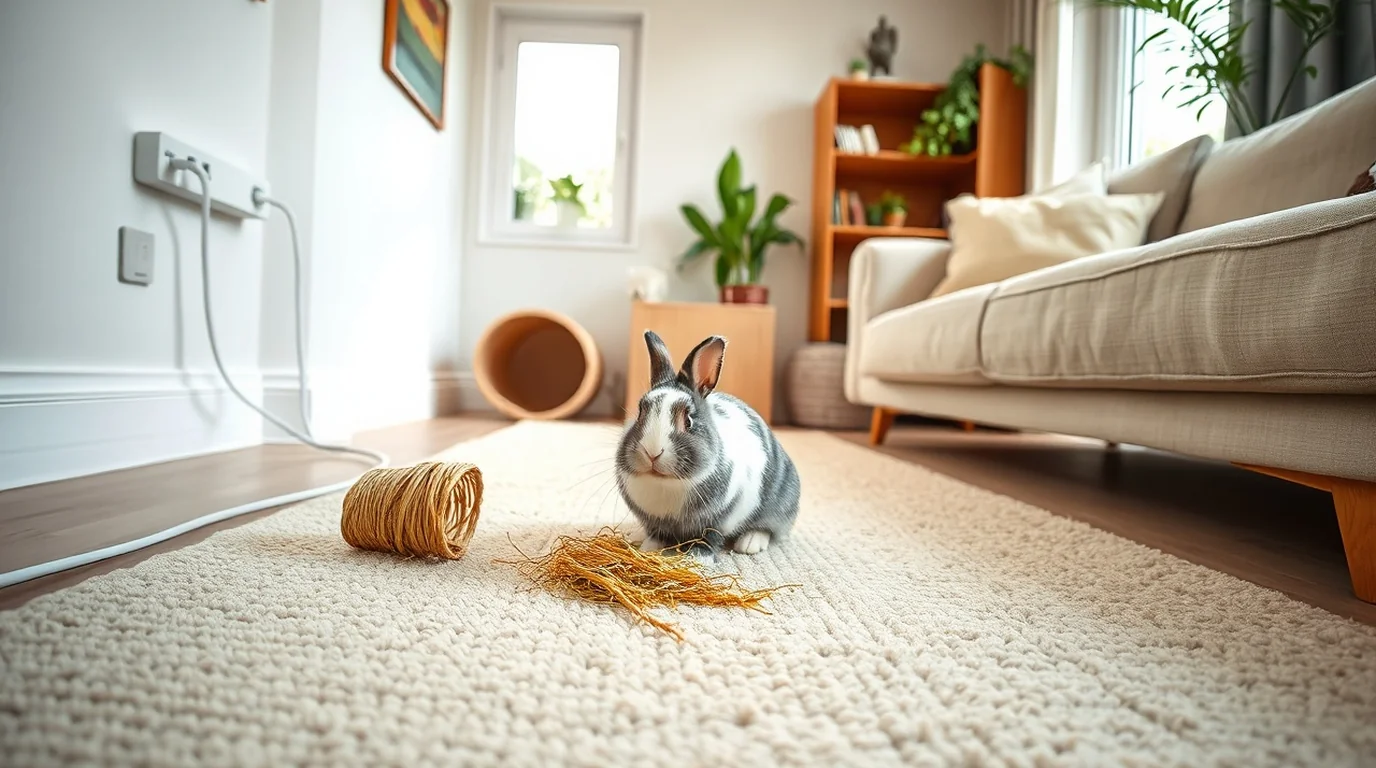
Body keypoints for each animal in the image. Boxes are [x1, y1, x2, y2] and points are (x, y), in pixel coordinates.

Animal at [614, 330, 801, 563]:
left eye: (689, 421)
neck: (667, 484)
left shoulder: (717, 521)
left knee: (769, 529)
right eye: (640, 414)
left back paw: (750, 543)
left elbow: (707, 538)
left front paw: (696, 558)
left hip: (779, 506)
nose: (652, 453)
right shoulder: (654, 521)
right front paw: (649, 548)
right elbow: (656, 532)